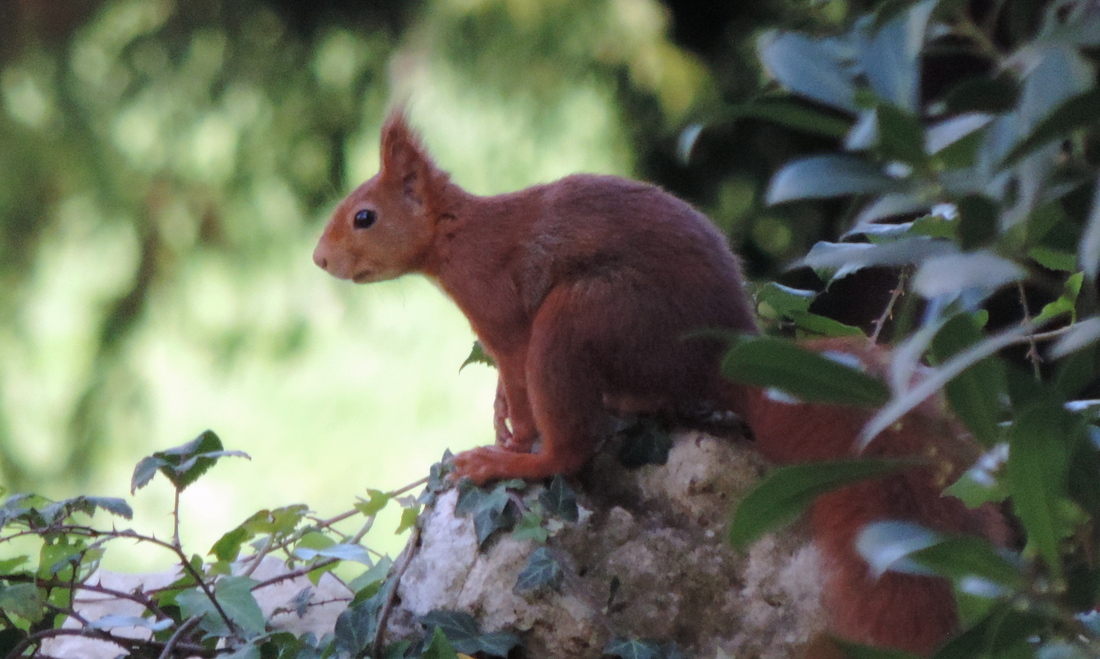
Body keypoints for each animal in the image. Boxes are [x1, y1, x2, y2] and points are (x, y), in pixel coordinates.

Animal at [314, 111, 1007, 655]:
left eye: (364, 217)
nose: (319, 260)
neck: (457, 234)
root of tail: (720, 362)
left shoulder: (503, 316)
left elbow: (515, 373)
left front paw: (511, 437)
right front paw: (499, 413)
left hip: (583, 318)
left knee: (572, 445)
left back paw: (517, 462)